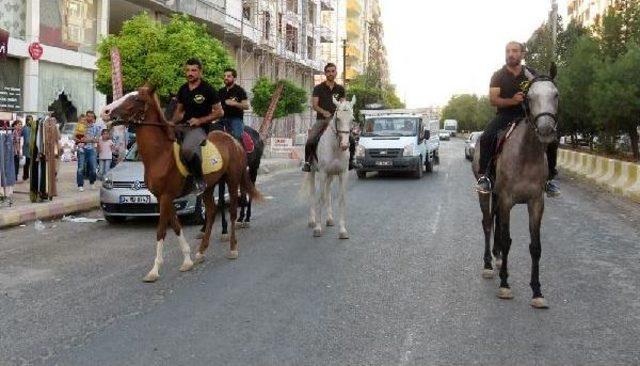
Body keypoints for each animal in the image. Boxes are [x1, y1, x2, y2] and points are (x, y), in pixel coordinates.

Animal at [166, 97, 266, 240]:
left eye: (177, 109)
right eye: (167, 108)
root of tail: (257, 134)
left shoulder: (221, 177)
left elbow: (221, 201)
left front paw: (224, 230)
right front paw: (204, 229)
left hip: (254, 167)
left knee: (250, 190)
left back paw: (246, 219)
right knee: (243, 190)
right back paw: (240, 218)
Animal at [300, 96, 356, 239]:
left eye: (352, 119)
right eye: (338, 118)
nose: (344, 145)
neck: (335, 147)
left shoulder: (343, 174)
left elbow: (341, 199)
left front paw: (342, 230)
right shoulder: (323, 173)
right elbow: (320, 198)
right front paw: (318, 228)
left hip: (331, 175)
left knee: (328, 193)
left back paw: (329, 219)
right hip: (313, 172)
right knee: (313, 194)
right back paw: (312, 221)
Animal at [472, 66, 556, 308]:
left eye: (556, 95)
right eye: (529, 97)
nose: (546, 130)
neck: (526, 154)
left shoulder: (536, 202)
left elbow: (535, 246)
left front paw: (537, 291)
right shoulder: (508, 199)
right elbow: (508, 240)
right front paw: (504, 285)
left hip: (500, 198)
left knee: (496, 223)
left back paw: (498, 257)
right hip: (487, 194)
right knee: (488, 223)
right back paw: (489, 265)